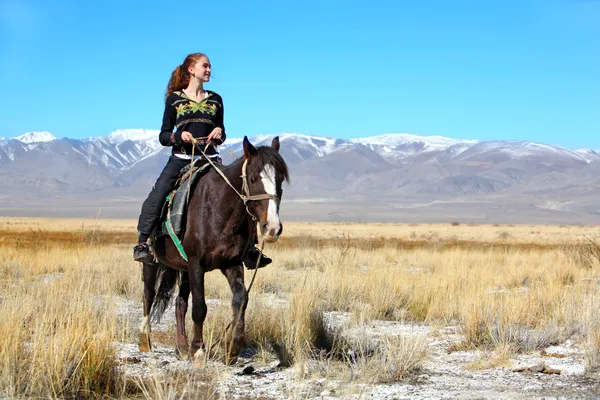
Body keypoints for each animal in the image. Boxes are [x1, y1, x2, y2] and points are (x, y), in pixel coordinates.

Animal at [141, 136, 290, 364]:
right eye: (253, 178)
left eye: (280, 180)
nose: (272, 228)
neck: (219, 210)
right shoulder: (196, 263)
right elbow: (200, 307)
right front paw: (198, 350)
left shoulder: (232, 263)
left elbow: (240, 299)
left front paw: (232, 348)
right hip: (152, 262)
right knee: (148, 296)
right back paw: (145, 340)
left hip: (183, 268)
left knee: (180, 303)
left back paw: (181, 347)